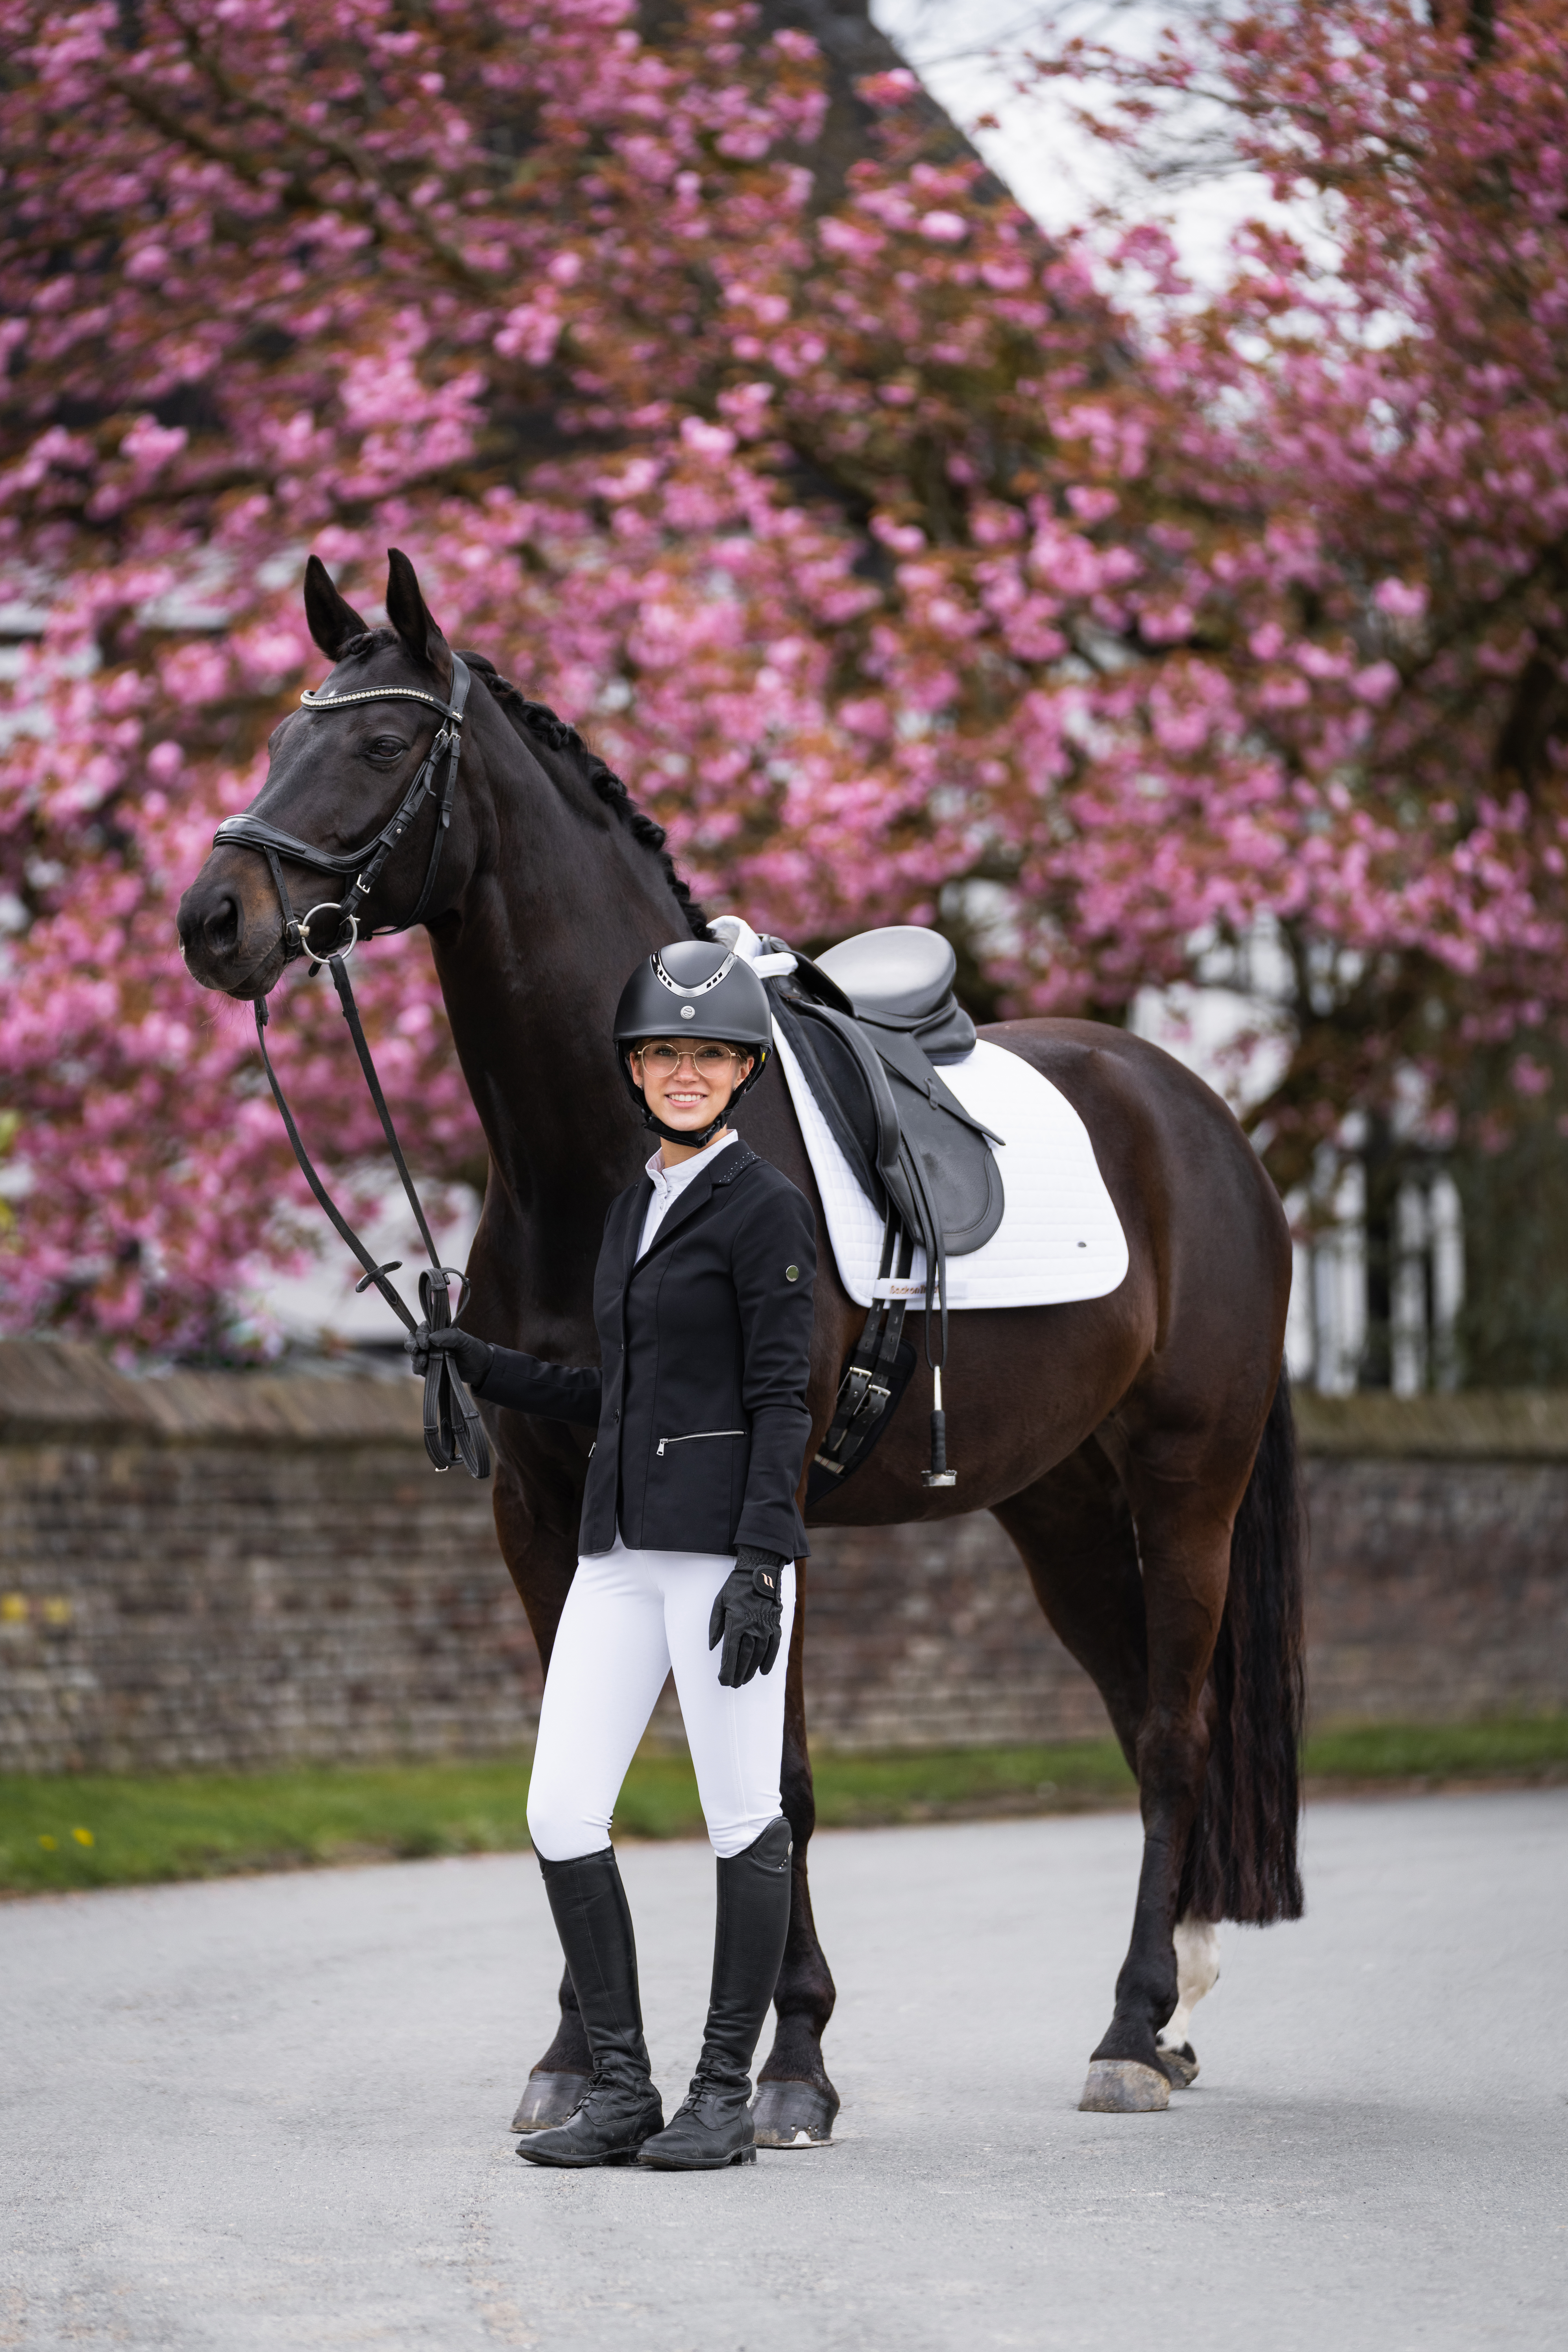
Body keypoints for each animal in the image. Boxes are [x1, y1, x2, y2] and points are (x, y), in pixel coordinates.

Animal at [177, 549, 1305, 2133]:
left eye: (385, 742)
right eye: (285, 735)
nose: (213, 919)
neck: (616, 1160)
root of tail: (1202, 1120)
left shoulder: (765, 1519)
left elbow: (782, 1781)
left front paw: (796, 2067)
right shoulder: (546, 1515)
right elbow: (573, 1757)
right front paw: (573, 2063)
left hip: (1186, 1485)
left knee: (1172, 1732)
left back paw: (1133, 2031)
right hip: (1061, 1506)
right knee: (1143, 1704)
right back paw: (1179, 2002)